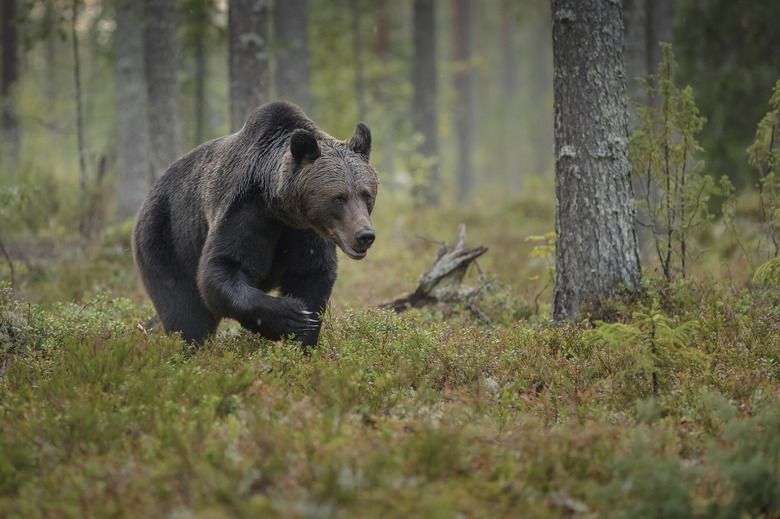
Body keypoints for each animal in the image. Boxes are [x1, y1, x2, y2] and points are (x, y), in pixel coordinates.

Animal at [131, 101, 378, 348]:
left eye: (366, 195)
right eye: (338, 198)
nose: (364, 235)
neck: (279, 207)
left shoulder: (305, 229)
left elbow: (310, 272)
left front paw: (304, 337)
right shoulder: (245, 210)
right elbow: (223, 266)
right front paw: (291, 317)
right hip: (165, 240)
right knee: (185, 313)